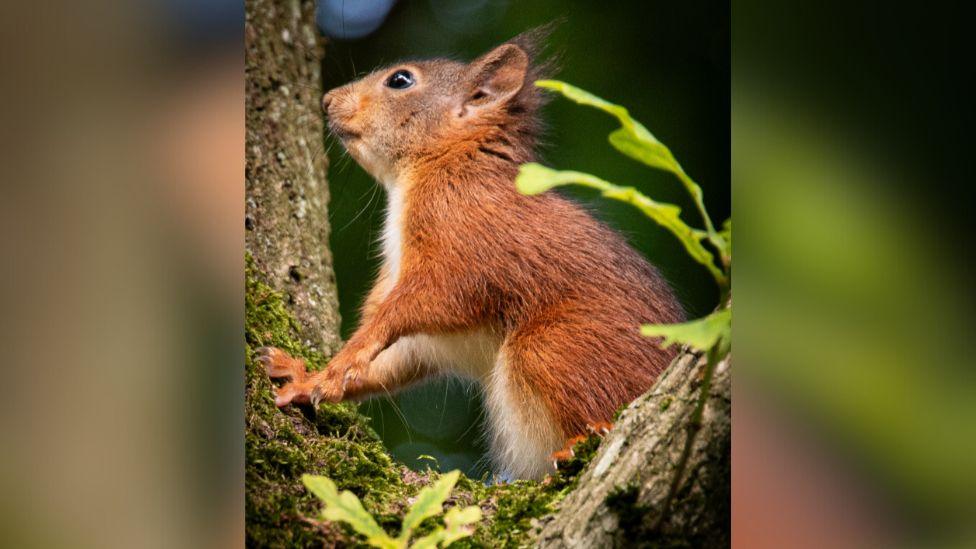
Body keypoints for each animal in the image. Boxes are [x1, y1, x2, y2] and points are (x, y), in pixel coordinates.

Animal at [264, 31, 684, 480]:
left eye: (400, 80)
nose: (327, 100)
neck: (441, 164)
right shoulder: (416, 323)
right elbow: (392, 360)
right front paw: (305, 373)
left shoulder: (464, 243)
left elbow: (412, 311)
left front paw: (323, 377)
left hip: (555, 348)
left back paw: (581, 441)